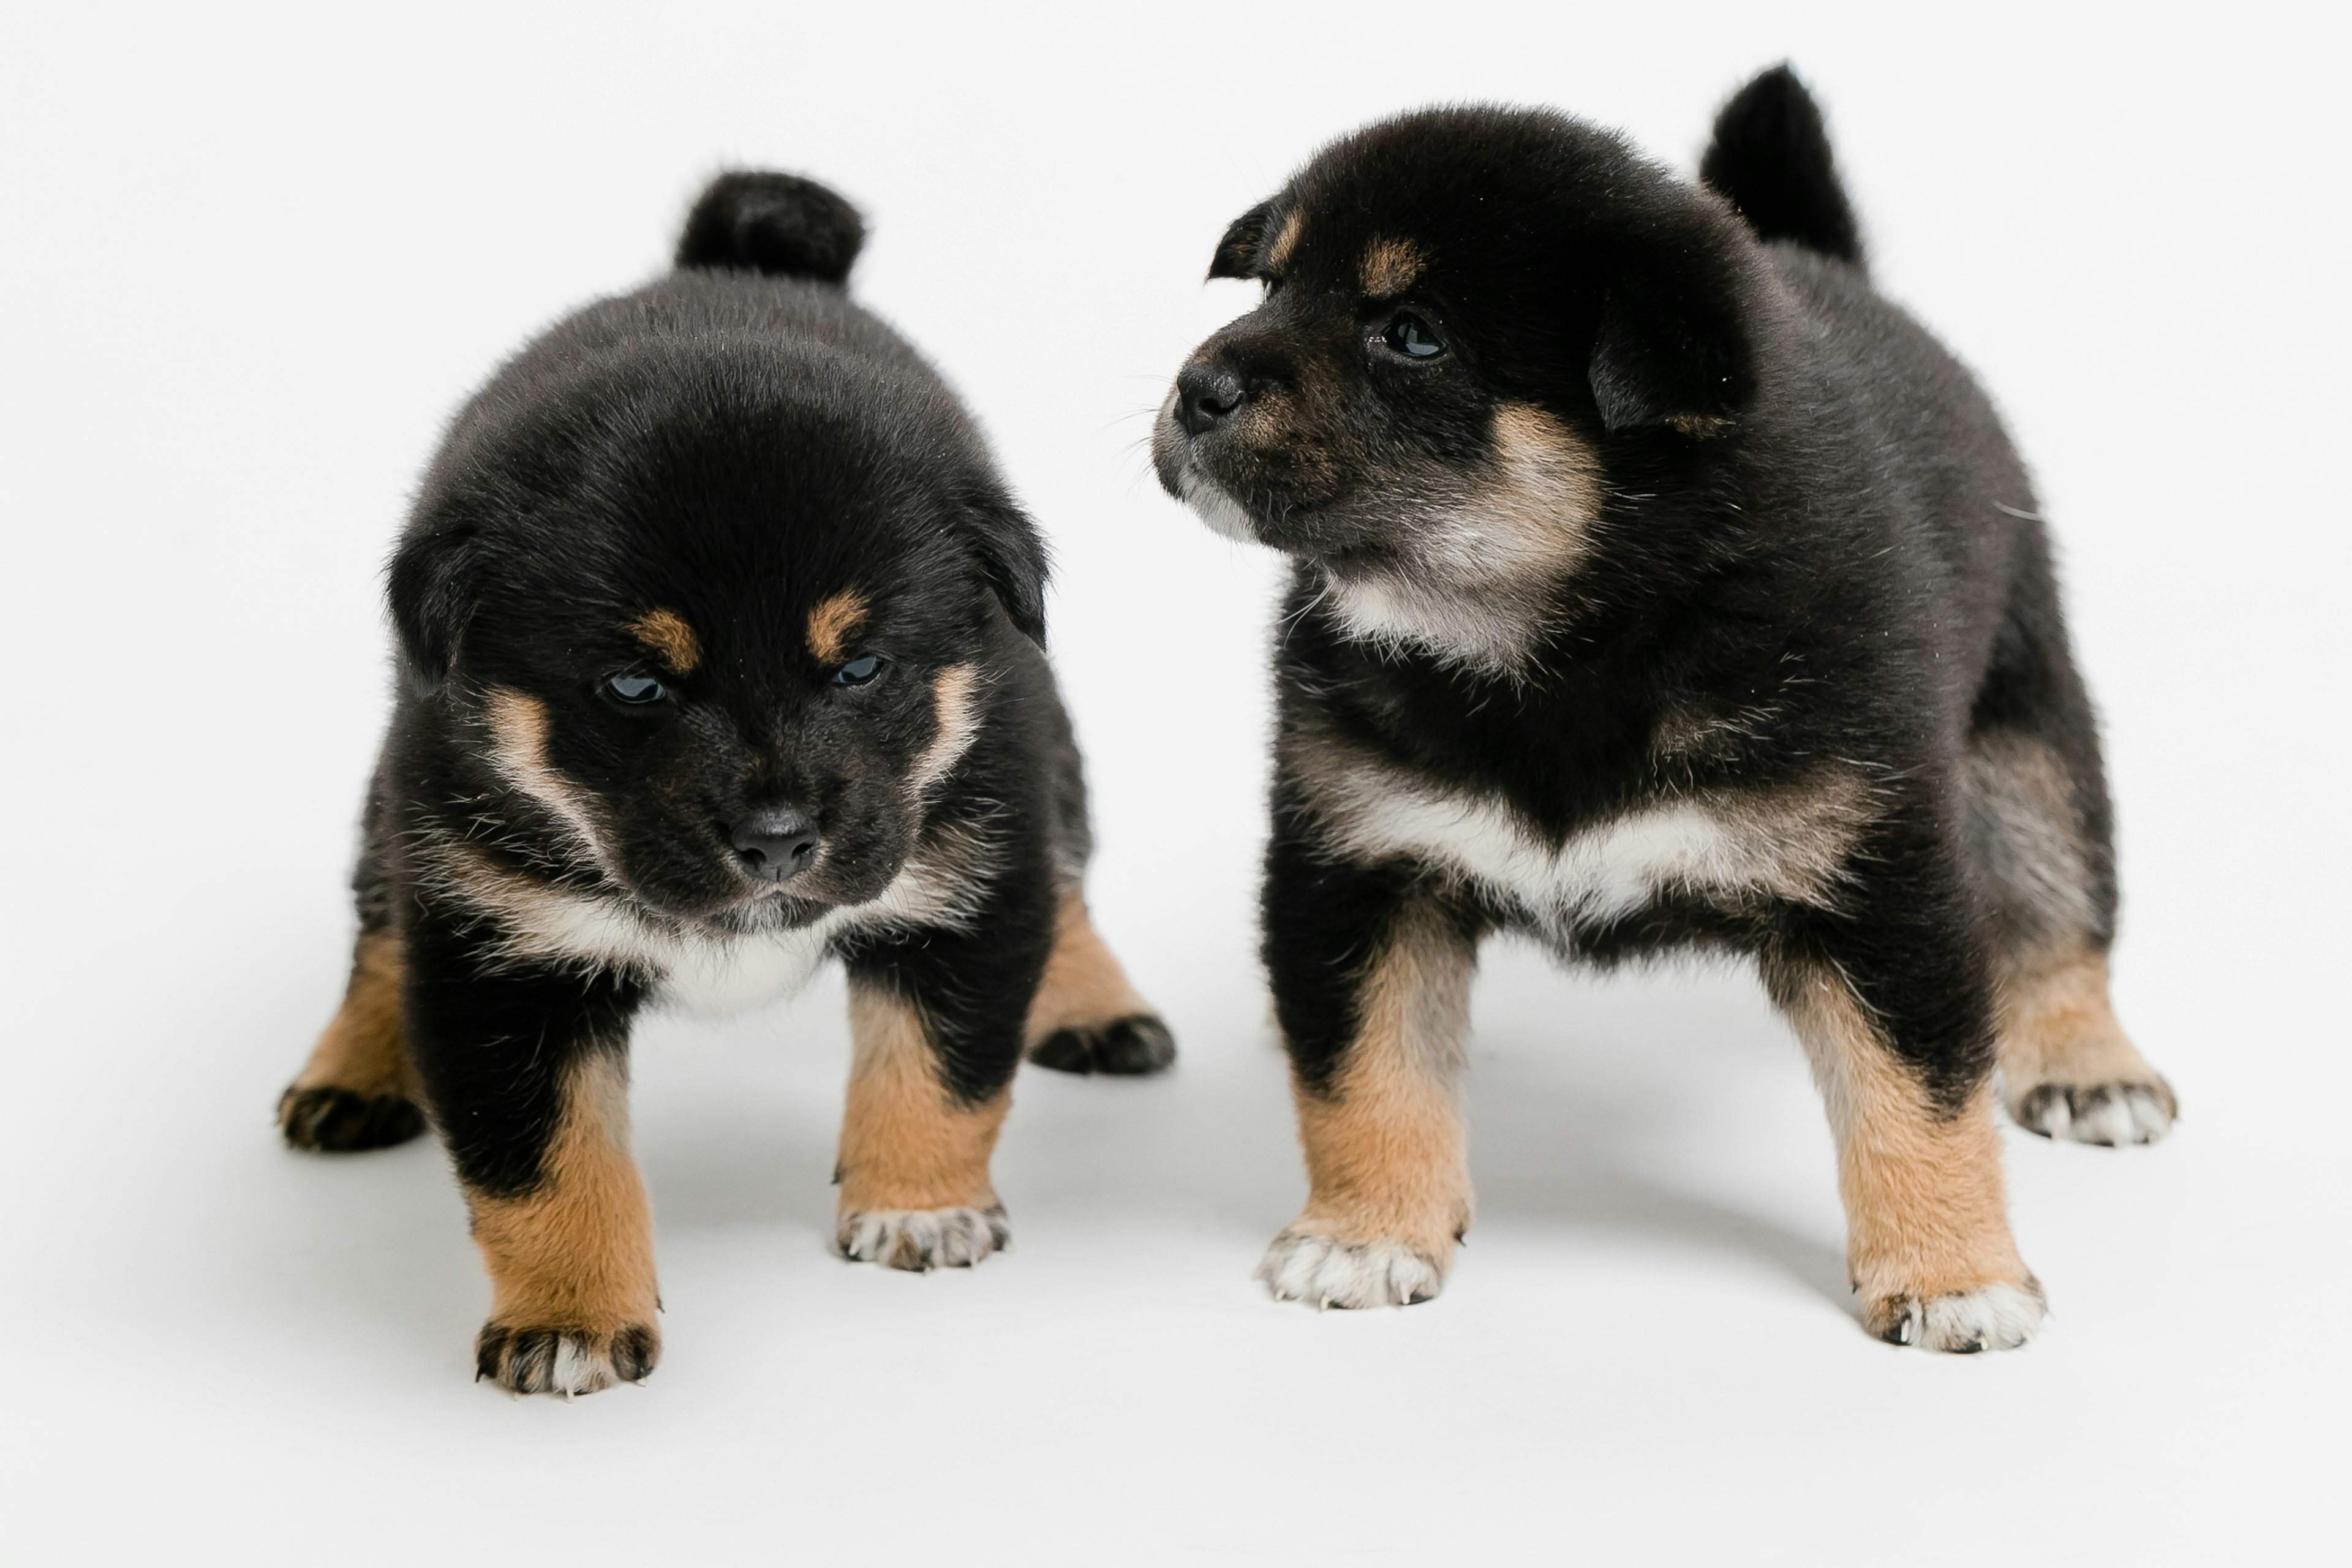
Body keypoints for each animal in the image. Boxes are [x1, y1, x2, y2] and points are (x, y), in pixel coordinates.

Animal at [287, 175, 1176, 1401]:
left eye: (861, 668)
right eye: (633, 684)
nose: (778, 842)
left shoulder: (972, 875)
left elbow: (940, 1068)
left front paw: (918, 1208)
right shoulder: (495, 957)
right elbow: (546, 1167)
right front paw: (569, 1318)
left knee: (1073, 877)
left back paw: (1097, 1010)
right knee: (379, 929)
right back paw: (354, 1073)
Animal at [1166, 70, 2173, 1354]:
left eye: (1413, 335)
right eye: (1272, 284)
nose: (1195, 389)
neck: (1567, 643)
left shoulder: (1882, 883)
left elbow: (1920, 1094)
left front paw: (1953, 1272)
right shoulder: (1360, 862)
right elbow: (1368, 1071)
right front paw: (1367, 1230)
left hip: (2028, 740)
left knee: (2058, 914)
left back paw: (2090, 1066)